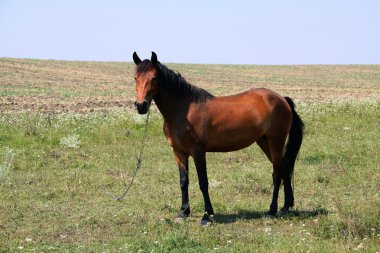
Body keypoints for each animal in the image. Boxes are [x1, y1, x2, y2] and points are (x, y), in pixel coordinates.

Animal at [132, 52, 304, 225]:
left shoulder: (198, 152)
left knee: (277, 174)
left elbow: (203, 183)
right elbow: (183, 182)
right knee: (284, 169)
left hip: (276, 142)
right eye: (135, 78)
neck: (183, 111)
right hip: (264, 142)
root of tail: (282, 99)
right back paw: (286, 206)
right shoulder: (179, 152)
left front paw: (207, 215)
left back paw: (272, 210)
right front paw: (183, 212)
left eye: (154, 78)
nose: (141, 105)